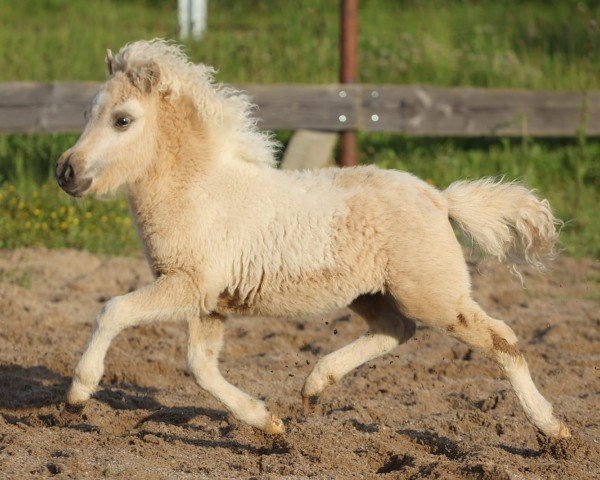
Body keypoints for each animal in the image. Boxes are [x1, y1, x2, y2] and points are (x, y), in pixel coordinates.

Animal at [58, 41, 568, 438]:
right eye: (87, 113)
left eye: (123, 119)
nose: (66, 171)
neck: (203, 190)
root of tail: (439, 198)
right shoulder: (209, 301)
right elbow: (200, 367)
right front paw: (267, 423)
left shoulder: (188, 286)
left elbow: (113, 310)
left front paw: (77, 395)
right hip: (371, 294)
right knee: (397, 329)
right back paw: (314, 386)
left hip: (435, 295)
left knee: (502, 339)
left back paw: (552, 430)